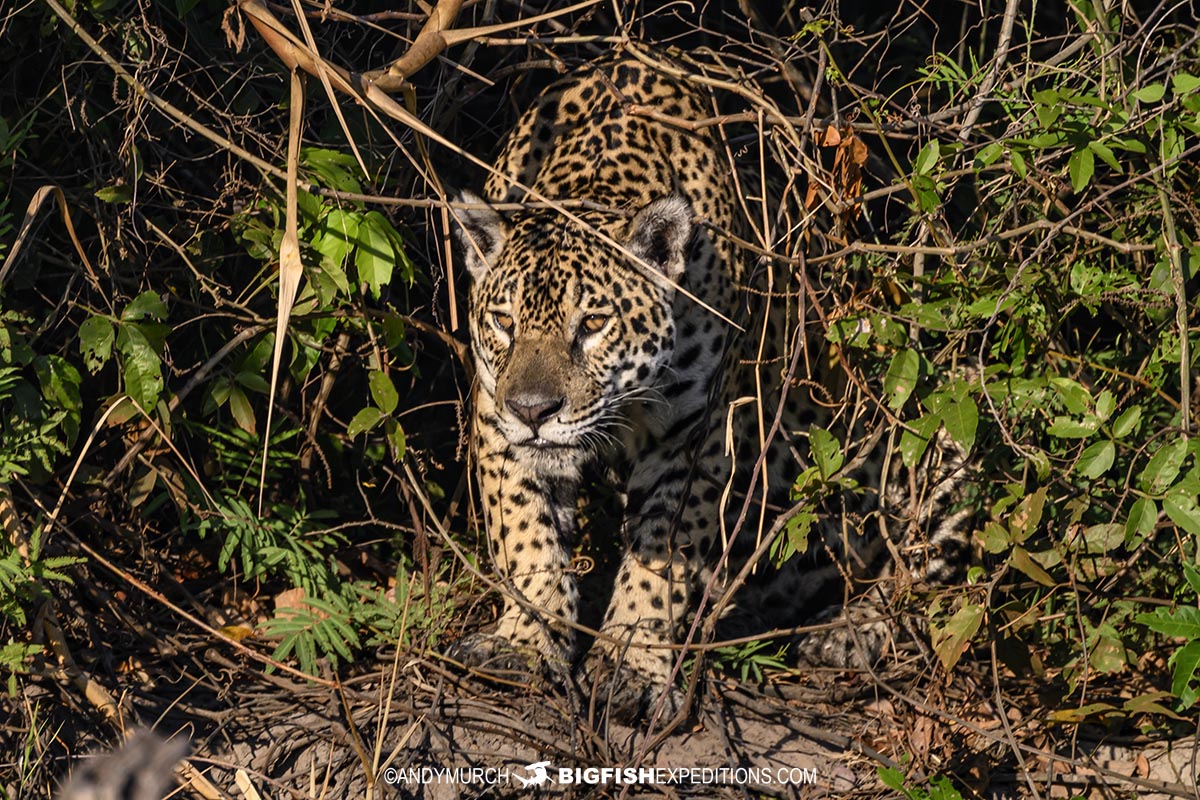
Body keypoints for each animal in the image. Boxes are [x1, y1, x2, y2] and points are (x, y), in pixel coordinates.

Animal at [450, 50, 974, 723]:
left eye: (592, 324)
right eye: (503, 322)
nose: (533, 410)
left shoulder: (699, 436)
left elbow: (660, 557)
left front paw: (631, 663)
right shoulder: (496, 423)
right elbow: (526, 536)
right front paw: (523, 641)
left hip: (945, 416)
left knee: (928, 586)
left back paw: (845, 633)